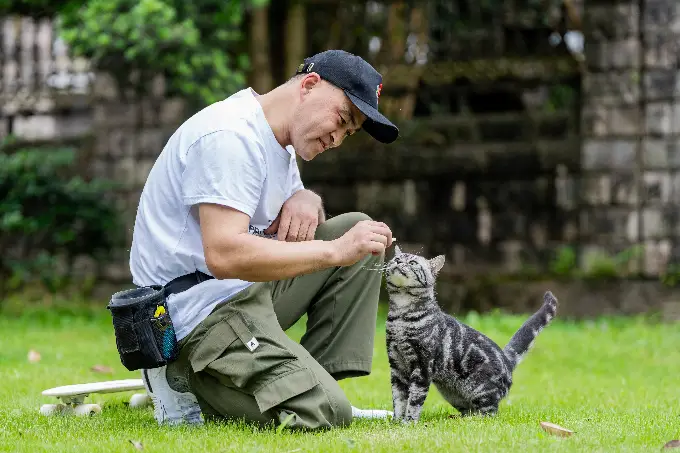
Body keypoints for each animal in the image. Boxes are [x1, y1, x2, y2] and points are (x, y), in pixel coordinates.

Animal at [382, 245, 556, 422]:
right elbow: (399, 399)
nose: (398, 262)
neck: (401, 316)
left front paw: (409, 422)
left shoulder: (422, 366)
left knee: (489, 414)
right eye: (396, 259)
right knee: (470, 410)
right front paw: (396, 421)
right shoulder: (396, 366)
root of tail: (507, 359)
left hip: (481, 391)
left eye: (412, 263)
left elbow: (415, 399)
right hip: (452, 394)